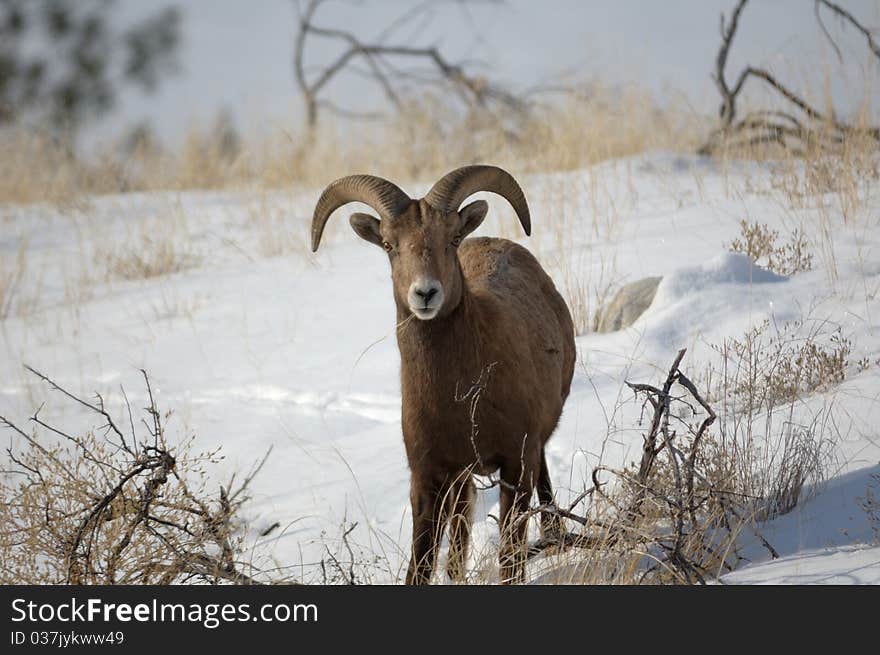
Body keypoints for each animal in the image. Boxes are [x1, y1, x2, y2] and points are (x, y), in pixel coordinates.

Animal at [312, 165, 576, 584]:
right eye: (388, 245)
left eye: (451, 239)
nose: (425, 294)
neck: (460, 398)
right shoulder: (428, 478)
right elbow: (419, 566)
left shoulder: (517, 464)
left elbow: (510, 559)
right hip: (461, 477)